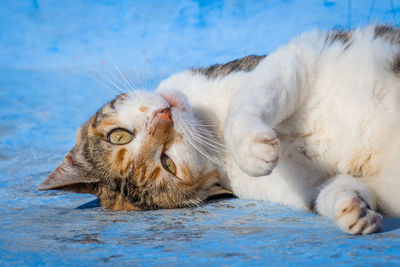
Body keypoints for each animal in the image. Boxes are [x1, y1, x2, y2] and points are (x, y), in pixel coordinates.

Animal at [38, 24, 400, 234]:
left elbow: (248, 98)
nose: (165, 116)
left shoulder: (295, 57)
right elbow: (327, 191)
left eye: (118, 136)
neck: (210, 127)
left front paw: (252, 151)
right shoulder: (301, 186)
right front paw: (353, 211)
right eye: (168, 163)